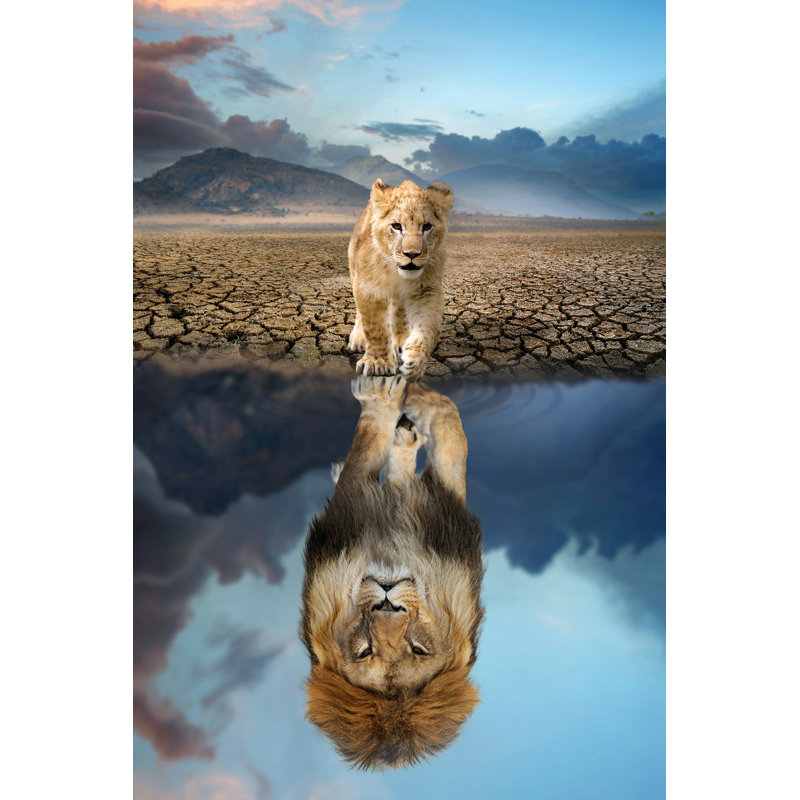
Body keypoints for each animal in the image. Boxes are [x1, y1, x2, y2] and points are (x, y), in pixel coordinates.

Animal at [301, 375, 484, 769]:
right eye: (365, 651)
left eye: (418, 649)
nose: (387, 603)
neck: (391, 549)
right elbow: (446, 433)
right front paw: (398, 400)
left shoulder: (443, 514)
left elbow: (449, 435)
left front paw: (398, 399)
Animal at [347, 179, 454, 382]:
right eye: (396, 226)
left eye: (426, 226)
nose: (411, 254)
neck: (395, 272)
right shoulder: (368, 288)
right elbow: (375, 327)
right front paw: (377, 362)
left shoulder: (426, 290)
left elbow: (428, 328)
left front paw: (415, 362)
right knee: (360, 313)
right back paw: (358, 338)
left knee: (400, 310)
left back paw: (401, 341)